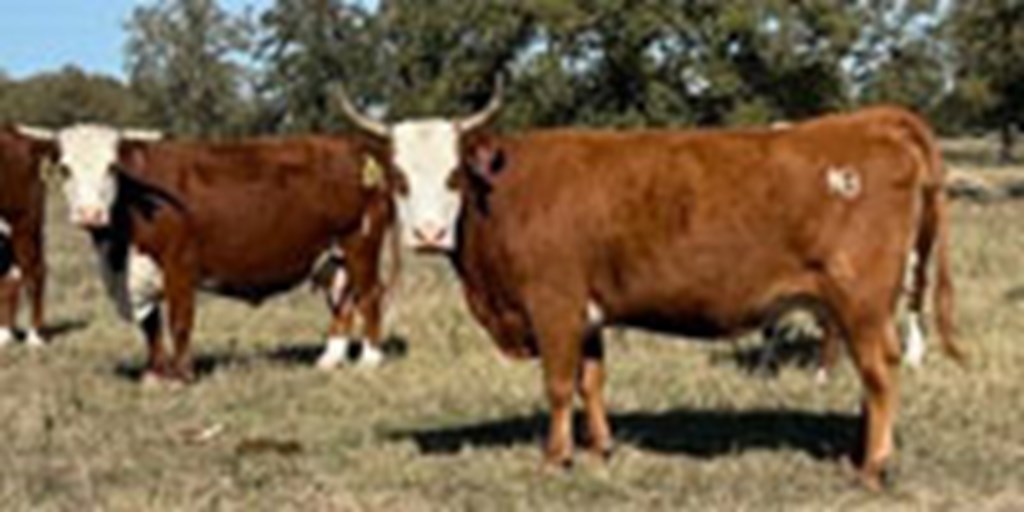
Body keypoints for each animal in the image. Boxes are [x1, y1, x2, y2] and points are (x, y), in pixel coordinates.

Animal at [16, 123, 401, 380]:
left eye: (111, 167)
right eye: (65, 168)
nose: (89, 213)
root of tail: (356, 144)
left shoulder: (180, 264)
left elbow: (179, 321)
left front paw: (181, 375)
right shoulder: (138, 273)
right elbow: (150, 325)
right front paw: (154, 374)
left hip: (361, 243)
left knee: (370, 294)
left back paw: (370, 359)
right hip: (334, 255)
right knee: (344, 298)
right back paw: (330, 359)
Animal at [342, 88, 966, 487]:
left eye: (453, 176)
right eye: (399, 178)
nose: (426, 233)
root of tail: (869, 121)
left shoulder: (554, 304)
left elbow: (559, 385)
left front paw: (555, 458)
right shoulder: (588, 312)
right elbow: (592, 382)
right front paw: (600, 449)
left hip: (860, 300)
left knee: (880, 372)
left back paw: (873, 467)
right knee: (871, 376)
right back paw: (859, 454)